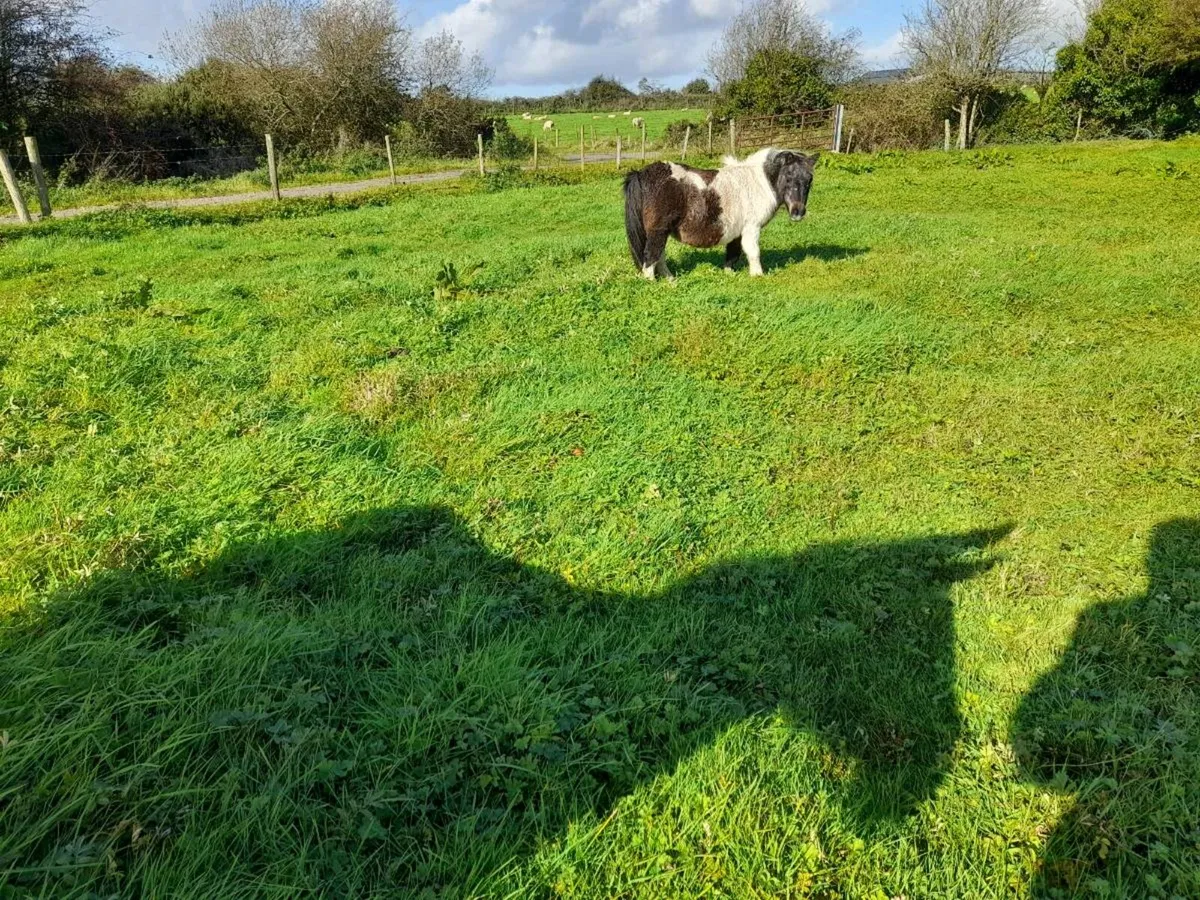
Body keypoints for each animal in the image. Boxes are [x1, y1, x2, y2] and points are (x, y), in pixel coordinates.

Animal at [623, 148, 818, 280]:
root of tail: (641, 173)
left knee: (659, 257)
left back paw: (670, 280)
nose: (798, 212)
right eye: (789, 177)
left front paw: (730, 275)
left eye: (809, 179)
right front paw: (758, 276)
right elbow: (753, 252)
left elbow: (733, 254)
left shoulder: (738, 232)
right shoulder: (751, 228)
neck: (759, 183)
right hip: (658, 232)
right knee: (651, 257)